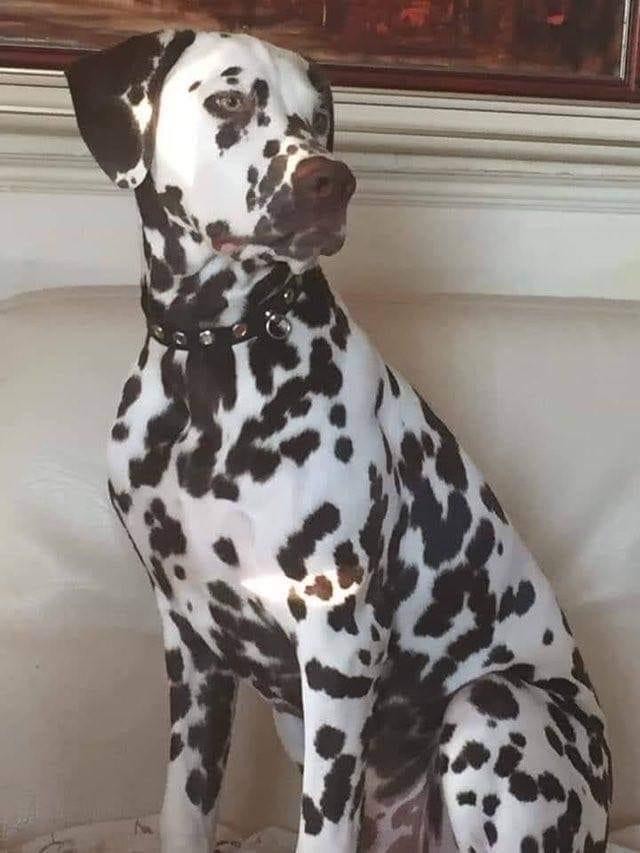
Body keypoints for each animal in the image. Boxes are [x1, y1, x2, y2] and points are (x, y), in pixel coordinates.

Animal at [66, 29, 611, 853]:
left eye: (317, 117)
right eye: (229, 99)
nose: (333, 181)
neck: (212, 372)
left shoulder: (338, 643)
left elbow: (321, 825)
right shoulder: (191, 653)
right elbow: (183, 809)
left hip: (491, 708)